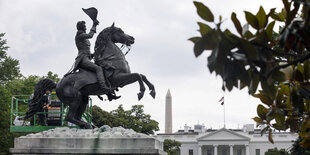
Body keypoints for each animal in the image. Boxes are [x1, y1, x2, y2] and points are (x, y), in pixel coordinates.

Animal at [24, 23, 155, 129]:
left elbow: (142, 76)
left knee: (77, 116)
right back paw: (87, 125)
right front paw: (141, 92)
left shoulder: (123, 80)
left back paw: (90, 125)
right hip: (75, 100)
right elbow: (138, 75)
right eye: (120, 31)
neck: (112, 58)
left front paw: (152, 91)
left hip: (83, 100)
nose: (132, 38)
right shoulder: (119, 79)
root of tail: (57, 84)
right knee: (69, 117)